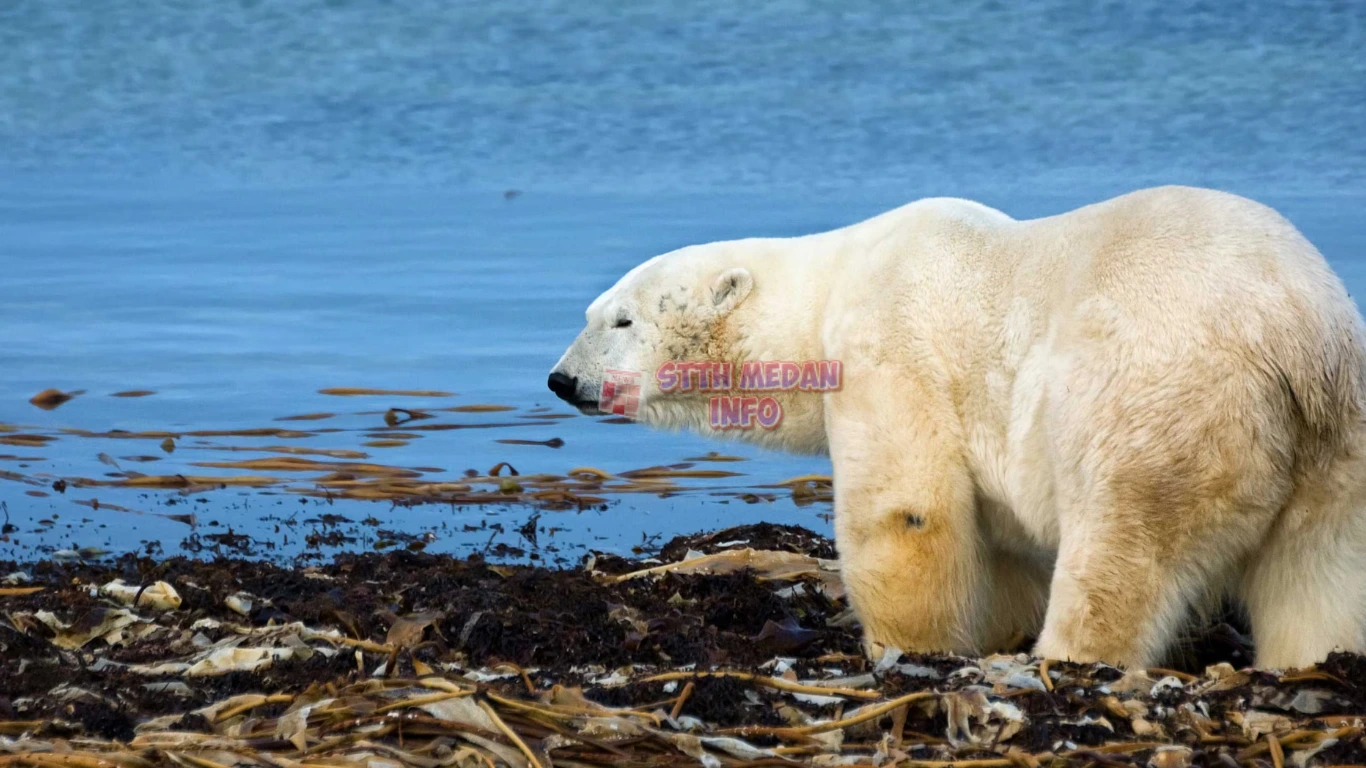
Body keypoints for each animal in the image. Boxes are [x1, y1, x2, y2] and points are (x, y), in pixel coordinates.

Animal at [549, 184, 1366, 664]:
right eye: (592, 313)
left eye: (620, 319)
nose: (562, 379)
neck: (832, 283)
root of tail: (1295, 334)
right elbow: (1000, 545)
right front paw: (991, 630)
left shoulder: (891, 345)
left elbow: (907, 510)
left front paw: (904, 652)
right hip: (1339, 438)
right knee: (1321, 572)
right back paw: (1313, 661)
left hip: (1156, 397)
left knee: (1123, 549)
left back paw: (1064, 660)